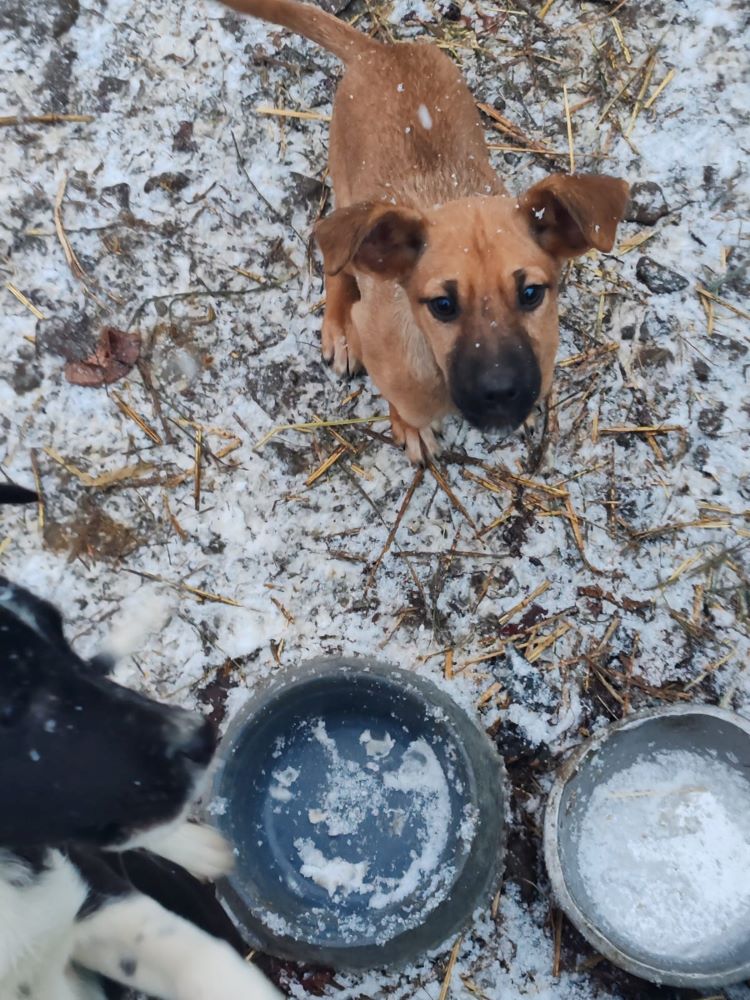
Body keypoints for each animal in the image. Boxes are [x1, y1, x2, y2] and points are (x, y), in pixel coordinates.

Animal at [222, 0, 628, 460]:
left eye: (531, 294)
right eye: (443, 305)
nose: (501, 394)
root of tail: (378, 50)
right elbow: (402, 401)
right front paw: (408, 425)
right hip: (344, 193)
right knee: (335, 260)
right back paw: (339, 329)